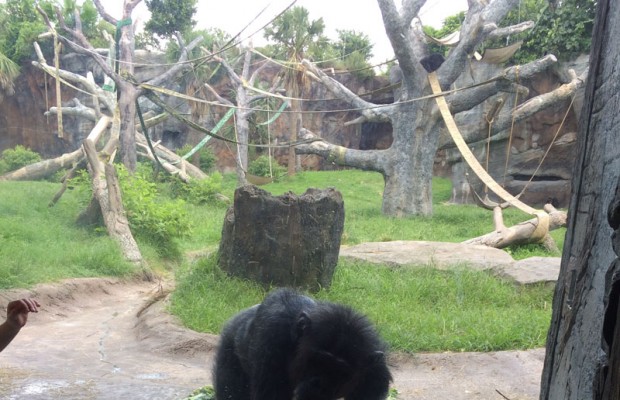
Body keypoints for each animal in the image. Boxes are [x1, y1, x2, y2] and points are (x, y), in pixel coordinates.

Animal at [213, 290, 392, 398]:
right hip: (228, 346)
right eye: (319, 360)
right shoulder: (272, 336)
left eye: (340, 370)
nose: (319, 384)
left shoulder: (375, 363)